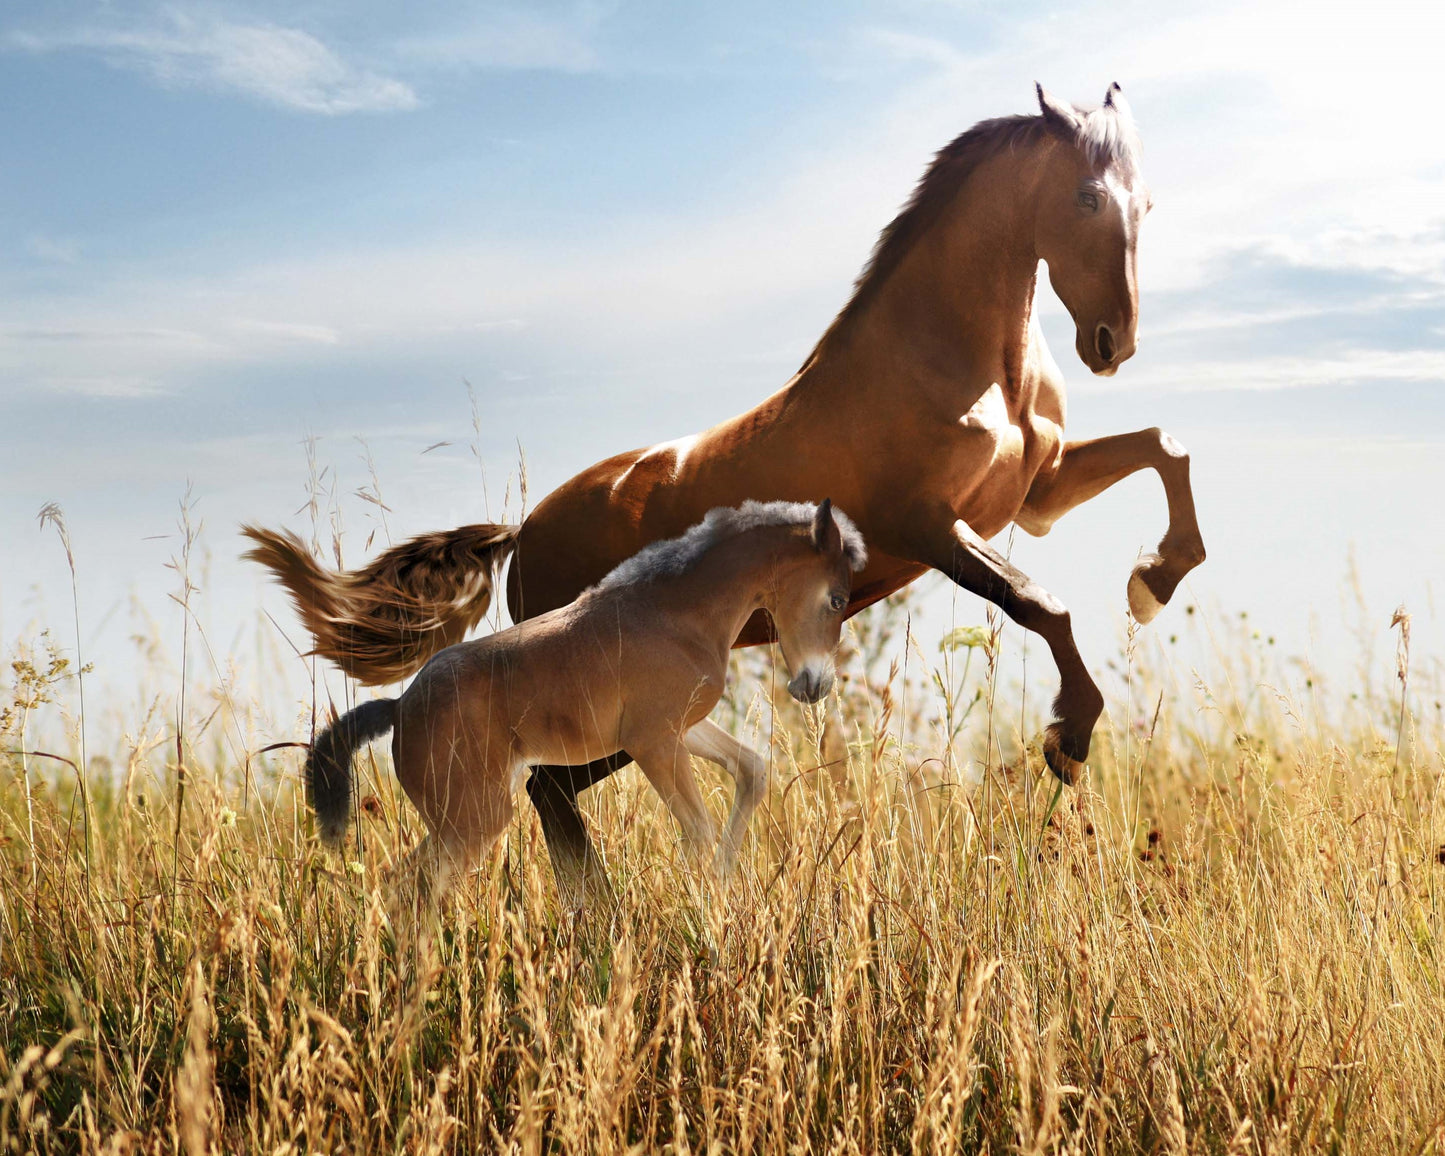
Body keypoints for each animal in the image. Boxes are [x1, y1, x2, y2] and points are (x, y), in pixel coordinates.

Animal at [303, 500, 865, 901]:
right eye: (837, 599)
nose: (815, 685)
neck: (677, 614)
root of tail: (399, 708)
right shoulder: (654, 741)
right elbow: (698, 831)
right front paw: (712, 910)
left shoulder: (681, 728)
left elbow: (752, 770)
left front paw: (727, 883)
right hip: (472, 818)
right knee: (405, 888)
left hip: (462, 820)